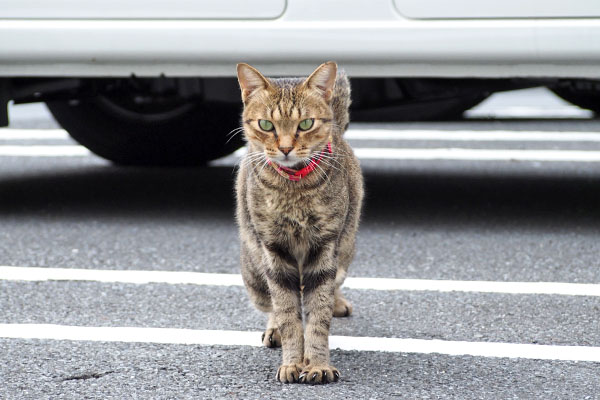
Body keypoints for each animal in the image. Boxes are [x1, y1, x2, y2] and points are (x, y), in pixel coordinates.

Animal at [237, 62, 364, 384]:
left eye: (305, 124)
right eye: (266, 125)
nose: (284, 148)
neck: (295, 189)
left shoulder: (325, 246)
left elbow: (318, 315)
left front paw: (317, 364)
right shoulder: (274, 250)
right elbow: (288, 313)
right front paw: (292, 362)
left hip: (344, 249)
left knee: (332, 286)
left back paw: (337, 302)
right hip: (254, 272)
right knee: (272, 303)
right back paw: (274, 330)